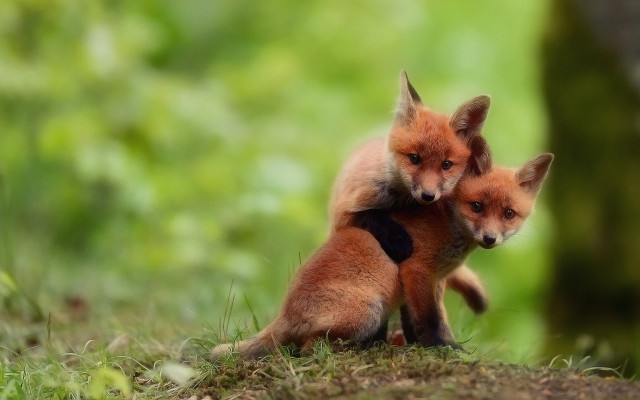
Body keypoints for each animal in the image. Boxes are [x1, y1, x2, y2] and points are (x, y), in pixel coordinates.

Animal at [211, 137, 554, 359]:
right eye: (477, 206)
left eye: (508, 214)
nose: (490, 239)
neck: (448, 223)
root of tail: (285, 312)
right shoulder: (417, 270)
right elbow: (430, 321)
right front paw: (442, 349)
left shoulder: (433, 281)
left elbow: (425, 320)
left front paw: (429, 345)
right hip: (369, 311)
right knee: (306, 349)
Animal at [330, 71, 491, 315]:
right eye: (414, 159)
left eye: (446, 165)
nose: (428, 195)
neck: (400, 202)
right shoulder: (345, 214)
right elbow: (371, 216)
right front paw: (399, 240)